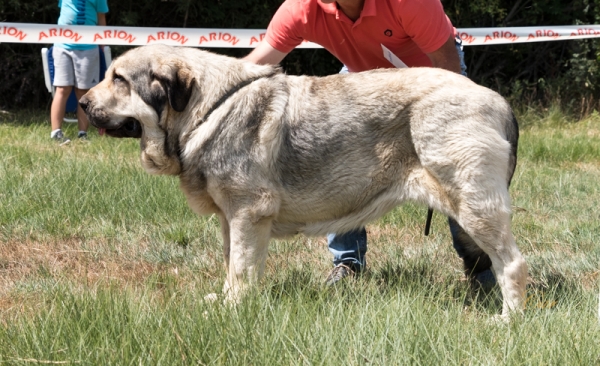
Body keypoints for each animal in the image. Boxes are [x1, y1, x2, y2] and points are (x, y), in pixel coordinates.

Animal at [78, 44, 524, 318]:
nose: (81, 102)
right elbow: (234, 263)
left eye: (119, 79)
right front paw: (227, 299)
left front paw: (232, 308)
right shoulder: (231, 221)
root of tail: (498, 100)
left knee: (511, 262)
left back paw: (508, 318)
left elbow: (241, 268)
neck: (206, 108)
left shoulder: (248, 213)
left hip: (474, 204)